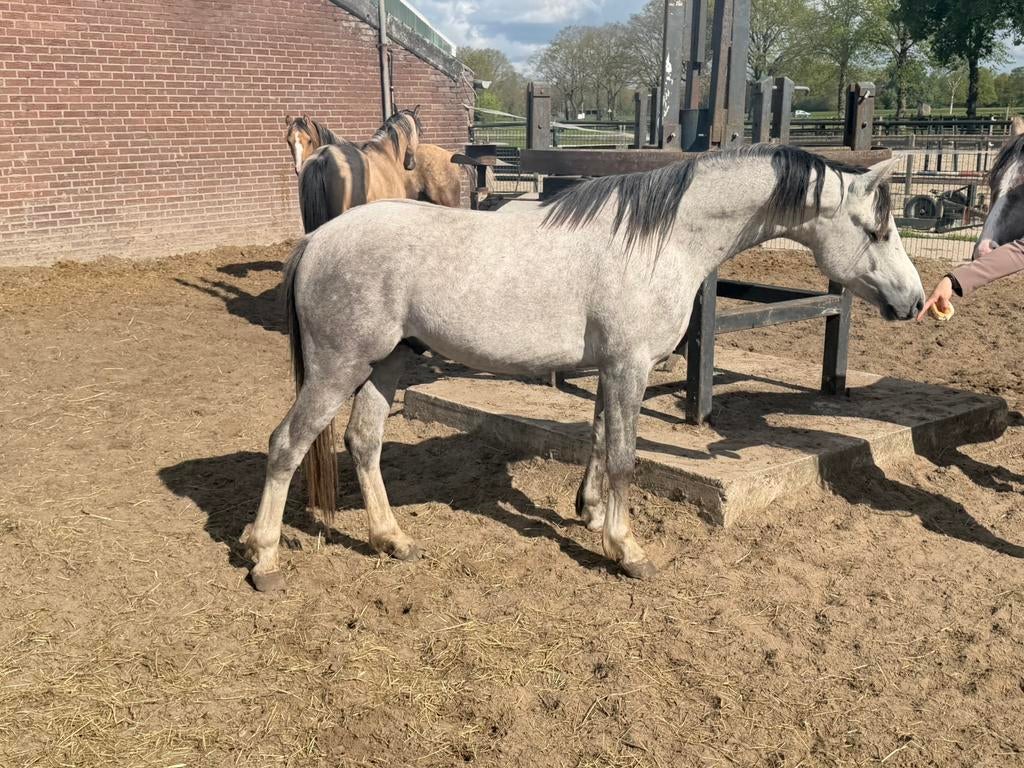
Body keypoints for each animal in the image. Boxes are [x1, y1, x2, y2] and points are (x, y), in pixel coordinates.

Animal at [239, 144, 925, 592]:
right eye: (877, 229)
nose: (916, 301)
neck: (661, 241)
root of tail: (318, 239)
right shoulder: (629, 366)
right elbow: (623, 455)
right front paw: (627, 549)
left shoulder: (612, 368)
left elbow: (598, 438)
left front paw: (591, 512)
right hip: (339, 367)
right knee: (286, 445)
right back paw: (265, 559)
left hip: (388, 363)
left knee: (363, 442)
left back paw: (391, 538)